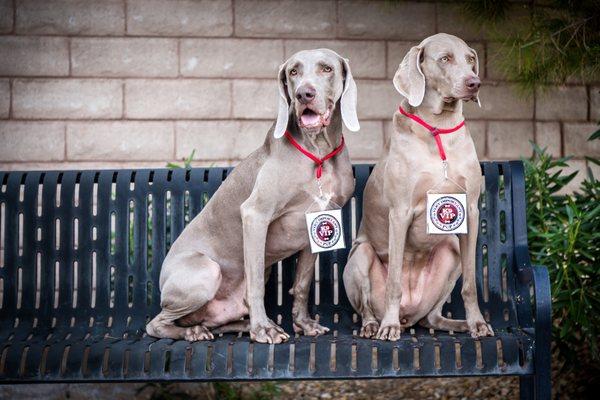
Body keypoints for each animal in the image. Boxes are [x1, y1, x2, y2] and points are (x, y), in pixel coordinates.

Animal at [147, 49, 358, 344]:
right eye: (293, 71)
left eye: (326, 68)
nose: (304, 94)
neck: (318, 152)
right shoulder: (256, 215)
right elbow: (256, 282)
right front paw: (263, 331)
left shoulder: (315, 225)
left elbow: (302, 284)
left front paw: (304, 324)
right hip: (205, 271)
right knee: (156, 323)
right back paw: (198, 331)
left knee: (219, 319)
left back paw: (245, 325)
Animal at [344, 33, 494, 340]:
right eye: (445, 58)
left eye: (470, 59)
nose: (474, 83)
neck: (439, 125)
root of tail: (409, 316)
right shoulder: (399, 212)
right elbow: (394, 282)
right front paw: (387, 327)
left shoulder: (471, 211)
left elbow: (471, 284)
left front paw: (477, 322)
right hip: (360, 256)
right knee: (367, 307)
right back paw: (375, 325)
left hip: (451, 249)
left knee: (432, 317)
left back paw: (458, 324)